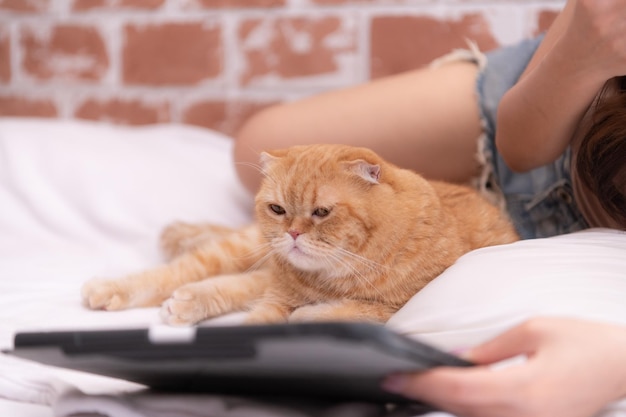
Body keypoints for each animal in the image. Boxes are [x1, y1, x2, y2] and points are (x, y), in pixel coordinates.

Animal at [80, 145, 516, 324]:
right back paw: (114, 287)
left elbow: (344, 312)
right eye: (278, 209)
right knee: (183, 270)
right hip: (249, 248)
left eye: (322, 212)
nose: (291, 233)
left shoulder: (397, 305)